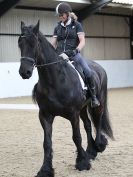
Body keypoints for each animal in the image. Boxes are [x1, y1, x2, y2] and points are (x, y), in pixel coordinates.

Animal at [17, 21, 113, 177]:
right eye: (20, 43)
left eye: (34, 43)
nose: (24, 72)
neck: (55, 81)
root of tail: (99, 67)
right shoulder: (45, 115)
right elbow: (47, 142)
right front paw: (45, 169)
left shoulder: (73, 114)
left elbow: (76, 137)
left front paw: (82, 163)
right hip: (83, 108)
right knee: (88, 125)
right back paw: (90, 151)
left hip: (97, 104)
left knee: (97, 122)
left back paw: (99, 145)